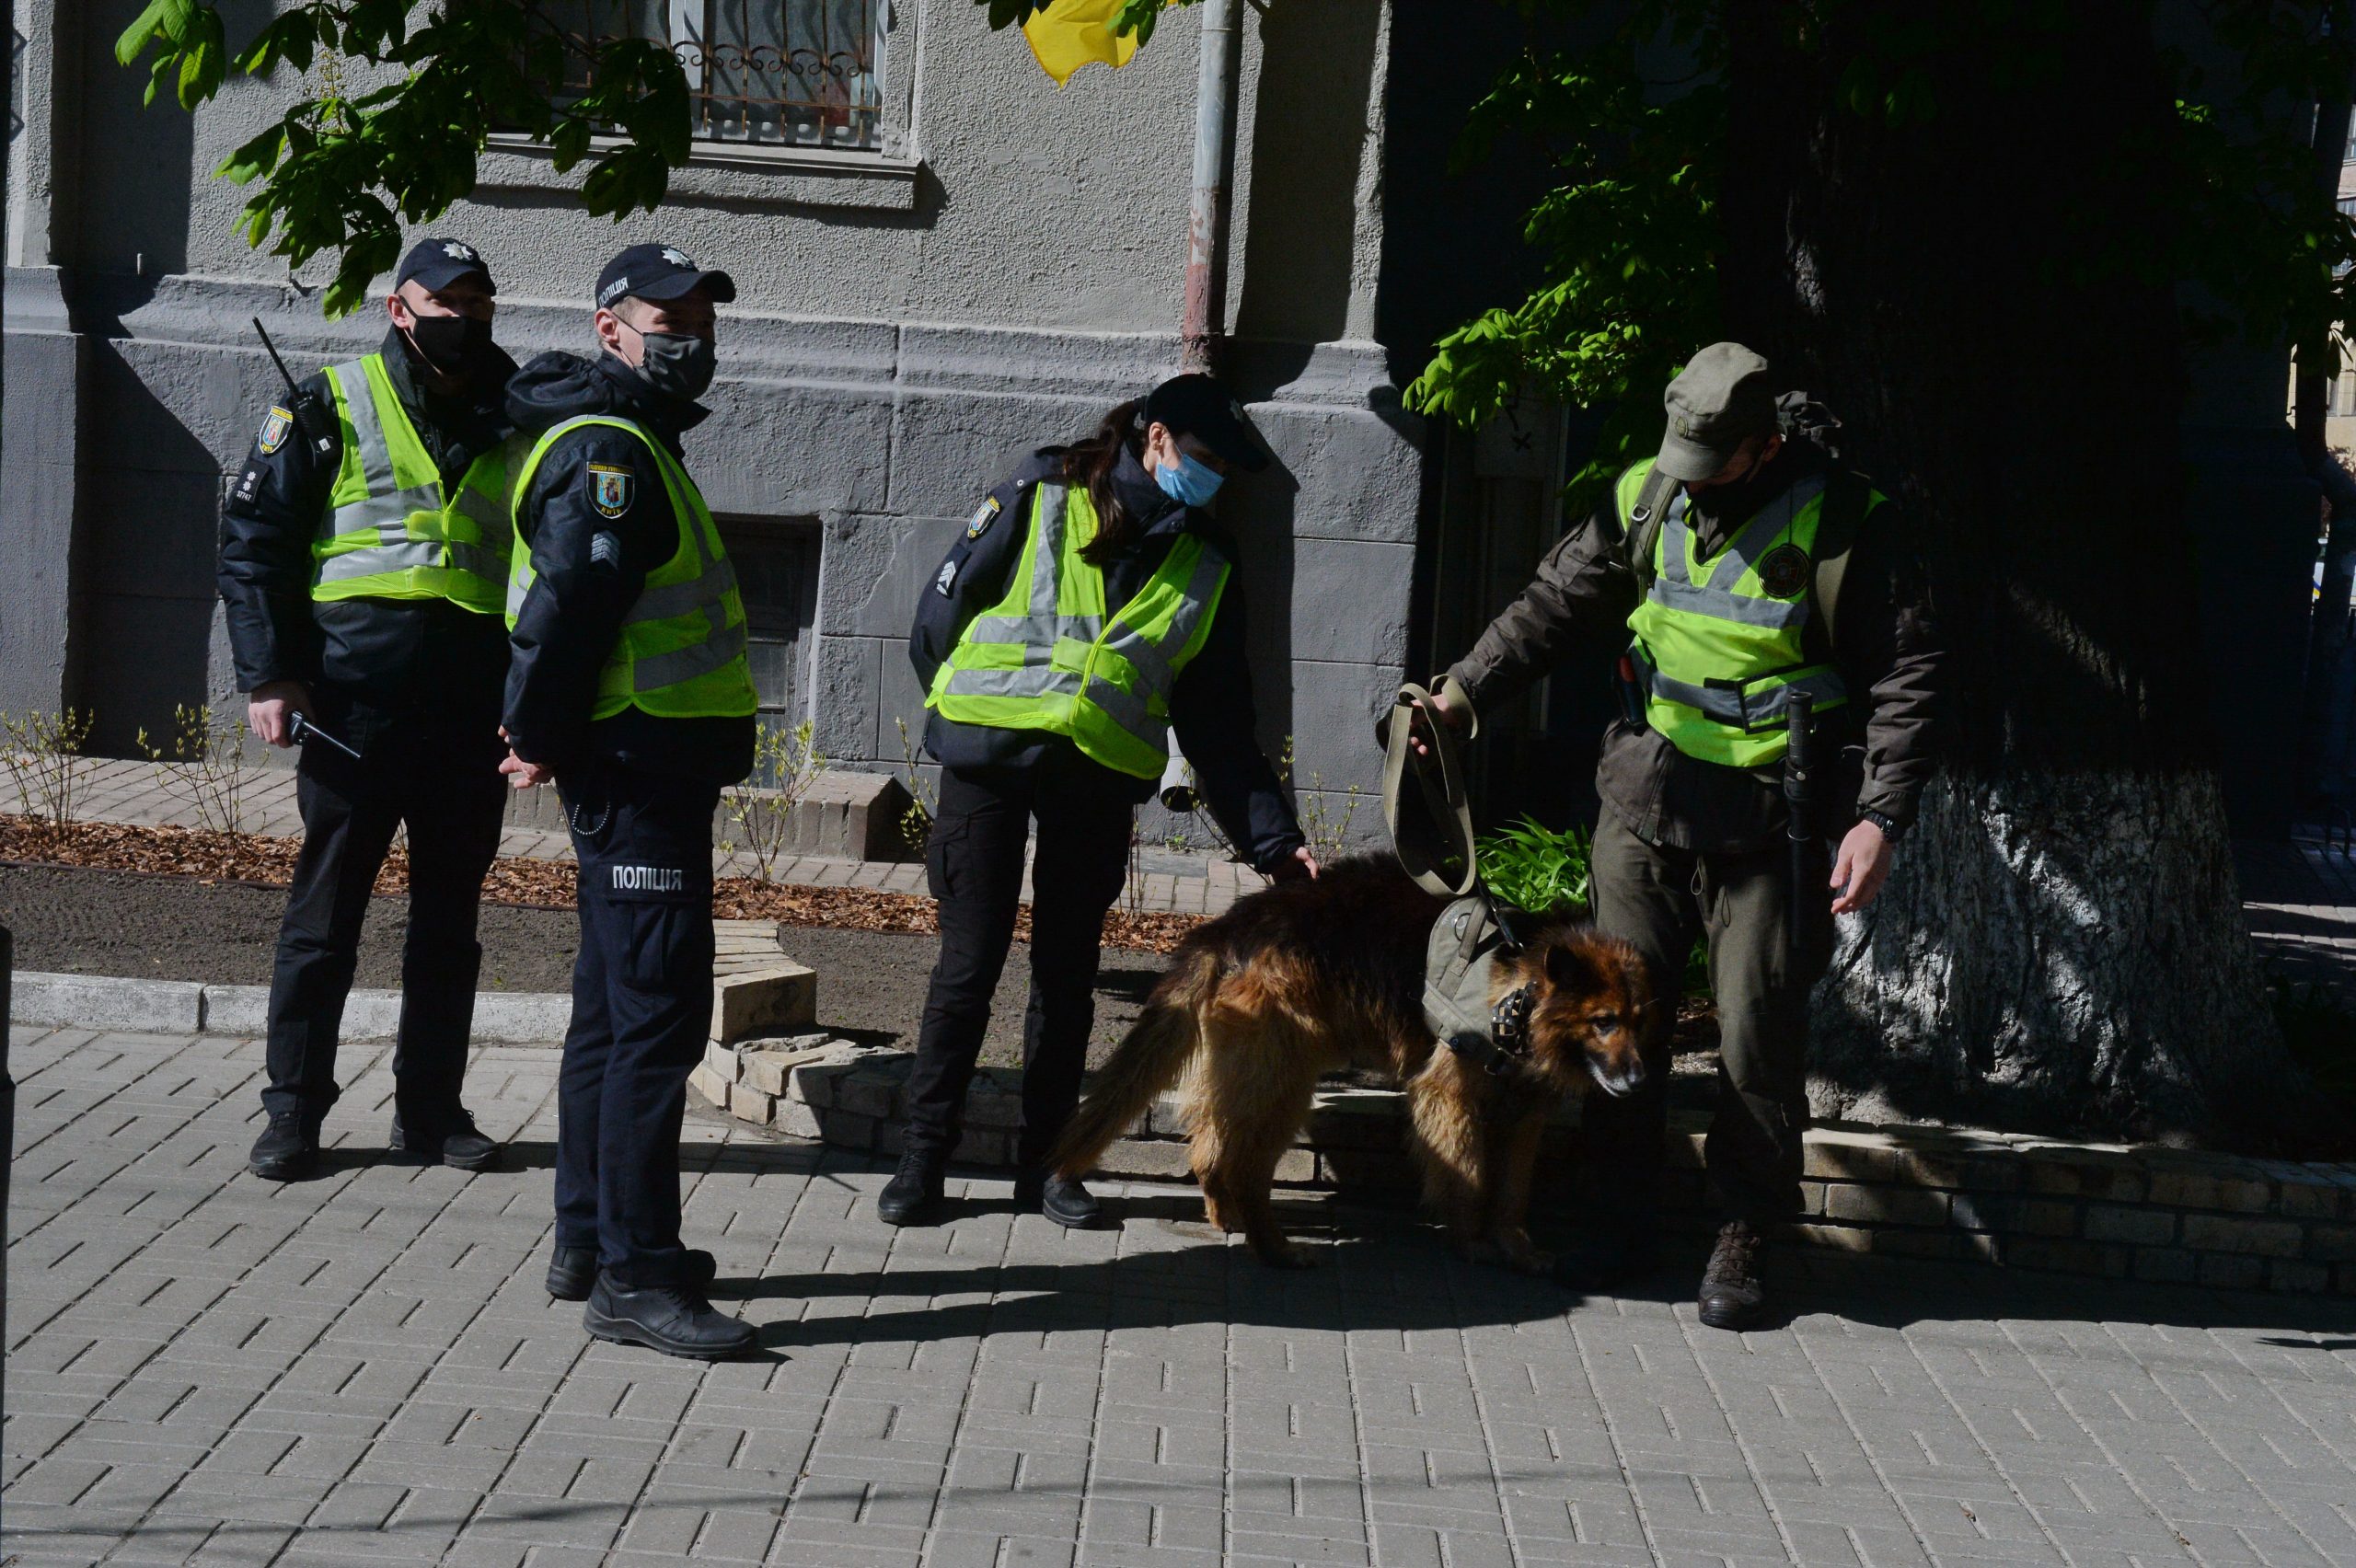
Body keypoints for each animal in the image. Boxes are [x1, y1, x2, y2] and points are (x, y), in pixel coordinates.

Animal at [1060, 857, 1649, 1271]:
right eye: (1603, 1022)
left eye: (1637, 1021)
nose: (1639, 1080)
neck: (1521, 991)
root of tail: (1230, 925)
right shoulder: (1449, 1098)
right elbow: (1470, 1178)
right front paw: (1470, 1243)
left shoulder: (1525, 1119)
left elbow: (1512, 1193)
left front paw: (1517, 1249)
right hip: (1287, 1080)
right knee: (1244, 1167)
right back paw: (1274, 1249)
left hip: (1249, 1070)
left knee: (1210, 1147)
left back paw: (1227, 1218)